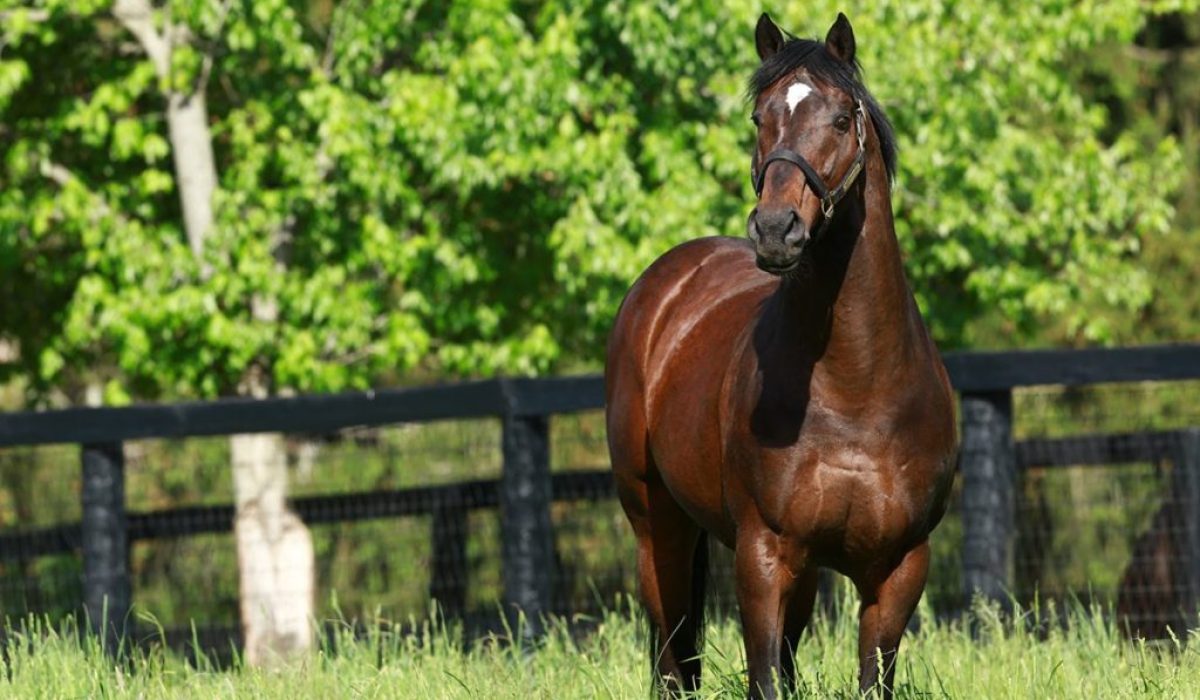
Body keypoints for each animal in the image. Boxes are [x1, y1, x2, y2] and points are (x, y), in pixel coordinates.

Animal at [605, 13, 957, 699]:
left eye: (842, 120)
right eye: (758, 117)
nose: (775, 230)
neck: (857, 387)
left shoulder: (899, 568)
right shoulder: (763, 555)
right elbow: (763, 676)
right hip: (657, 527)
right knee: (672, 654)